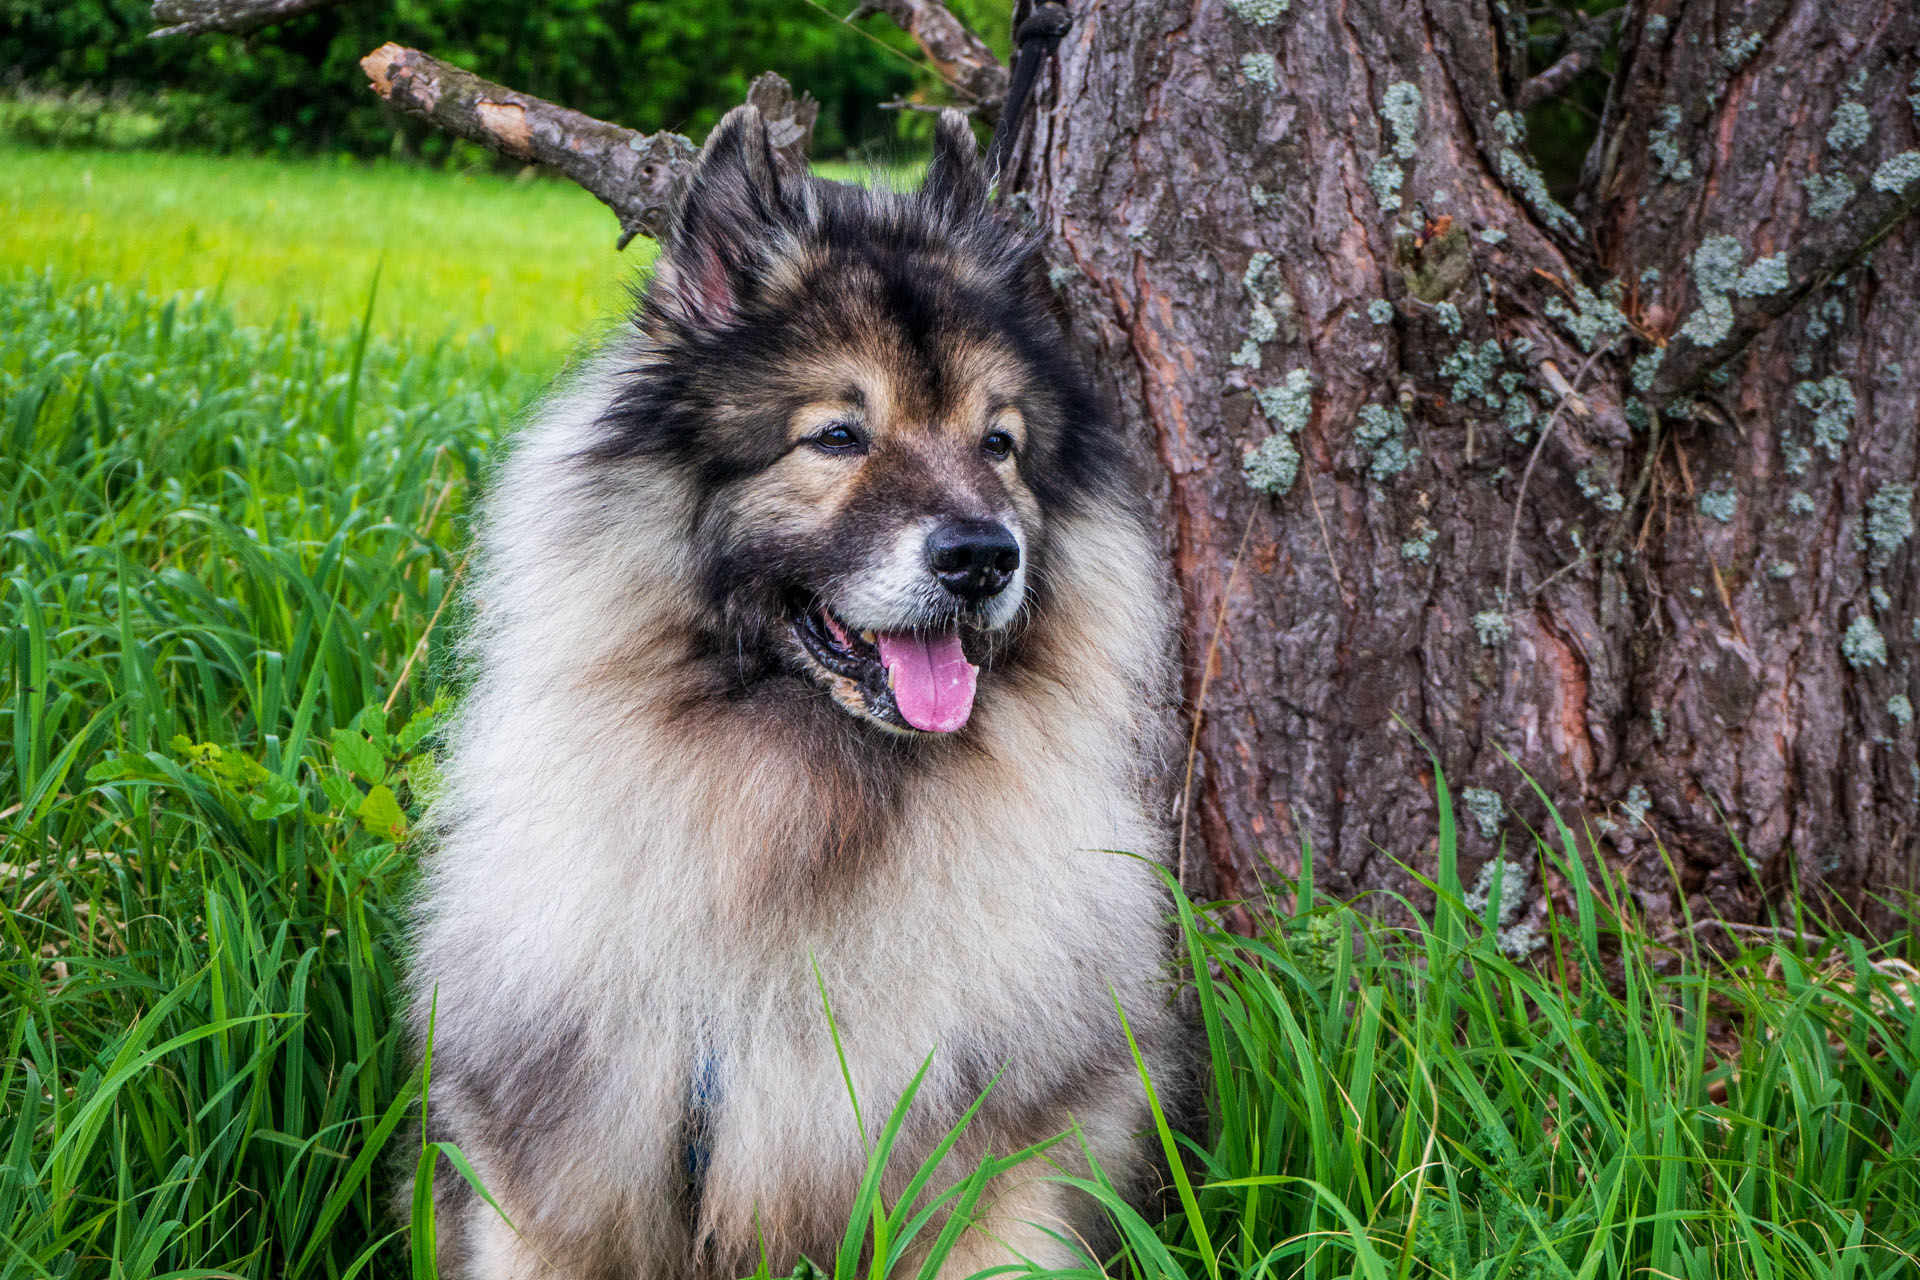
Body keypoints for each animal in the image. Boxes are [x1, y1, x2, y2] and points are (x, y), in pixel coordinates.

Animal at [410, 105, 1190, 1274]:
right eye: (836, 435)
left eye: (998, 444)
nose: (982, 557)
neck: (809, 809)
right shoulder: (555, 1180)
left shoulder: (995, 1182)